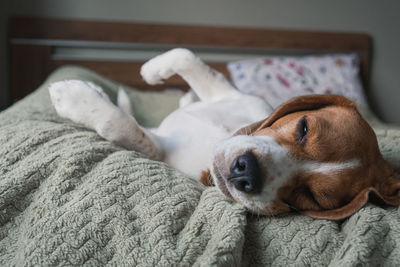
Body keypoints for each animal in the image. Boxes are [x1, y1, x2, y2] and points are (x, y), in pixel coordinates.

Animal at [49, 48, 400, 220]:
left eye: (312, 198)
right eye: (304, 128)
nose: (247, 173)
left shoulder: (158, 151)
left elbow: (123, 126)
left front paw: (72, 98)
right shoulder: (227, 94)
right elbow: (188, 57)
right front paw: (152, 70)